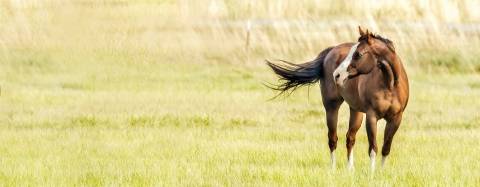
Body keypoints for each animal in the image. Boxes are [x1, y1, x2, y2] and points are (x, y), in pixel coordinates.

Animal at [266, 27, 408, 170]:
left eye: (358, 54)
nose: (337, 75)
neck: (389, 85)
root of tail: (331, 51)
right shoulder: (372, 117)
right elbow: (373, 148)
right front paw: (372, 172)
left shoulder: (396, 119)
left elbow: (386, 148)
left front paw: (381, 171)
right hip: (331, 107)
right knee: (333, 139)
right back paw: (333, 168)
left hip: (356, 110)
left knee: (350, 138)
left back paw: (350, 169)